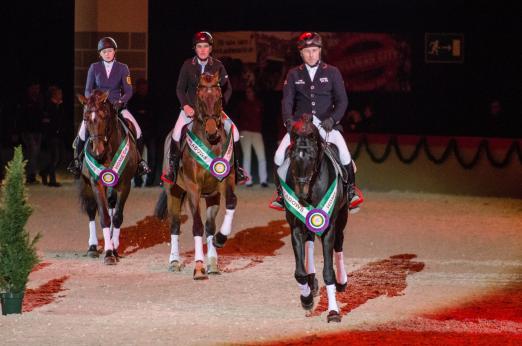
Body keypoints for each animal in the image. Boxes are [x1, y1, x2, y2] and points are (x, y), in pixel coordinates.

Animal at [76, 90, 138, 264]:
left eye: (104, 116)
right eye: (85, 119)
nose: (97, 152)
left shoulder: (125, 185)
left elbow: (116, 217)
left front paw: (114, 248)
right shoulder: (96, 183)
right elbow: (104, 216)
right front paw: (109, 253)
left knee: (112, 205)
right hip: (86, 183)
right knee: (91, 210)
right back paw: (92, 248)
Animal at [157, 71, 237, 280]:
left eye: (218, 97)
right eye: (200, 98)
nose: (211, 131)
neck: (210, 143)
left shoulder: (225, 181)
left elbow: (230, 203)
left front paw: (220, 239)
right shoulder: (193, 188)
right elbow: (197, 227)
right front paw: (199, 268)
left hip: (212, 196)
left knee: (210, 226)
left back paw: (213, 264)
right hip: (174, 192)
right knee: (175, 225)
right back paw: (174, 262)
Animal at [278, 115, 348, 324]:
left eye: (311, 156)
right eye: (292, 156)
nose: (300, 193)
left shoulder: (328, 228)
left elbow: (328, 272)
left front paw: (333, 312)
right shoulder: (295, 227)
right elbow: (299, 273)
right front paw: (307, 298)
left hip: (342, 219)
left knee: (339, 244)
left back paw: (342, 281)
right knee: (309, 244)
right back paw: (312, 282)